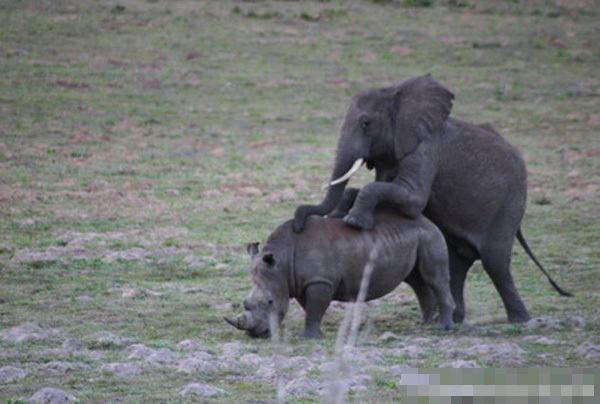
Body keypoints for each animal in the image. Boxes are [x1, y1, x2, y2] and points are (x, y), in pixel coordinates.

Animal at [225, 208, 454, 338]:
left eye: (270, 302)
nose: (255, 334)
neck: (282, 263)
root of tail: (427, 221)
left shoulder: (319, 281)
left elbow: (315, 307)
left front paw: (307, 338)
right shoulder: (301, 281)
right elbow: (310, 307)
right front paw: (316, 333)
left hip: (429, 236)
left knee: (434, 278)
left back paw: (442, 328)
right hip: (414, 237)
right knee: (417, 281)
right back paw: (423, 323)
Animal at [294, 73, 572, 326]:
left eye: (366, 123)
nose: (298, 223)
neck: (398, 96)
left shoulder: (425, 147)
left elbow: (410, 198)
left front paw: (353, 221)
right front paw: (340, 213)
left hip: (509, 203)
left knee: (495, 262)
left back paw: (519, 321)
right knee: (456, 263)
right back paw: (453, 320)